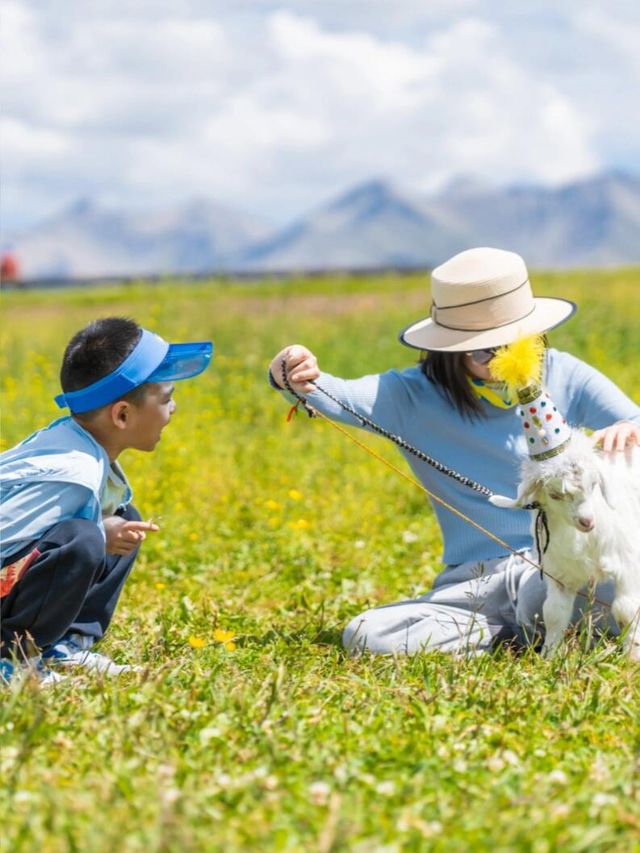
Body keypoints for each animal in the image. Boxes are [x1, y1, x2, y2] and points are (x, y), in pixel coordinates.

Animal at [490, 432, 640, 660]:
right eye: (554, 495)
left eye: (594, 485)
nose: (587, 522)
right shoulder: (560, 574)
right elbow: (553, 612)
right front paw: (549, 658)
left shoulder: (628, 563)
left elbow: (627, 610)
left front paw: (632, 659)